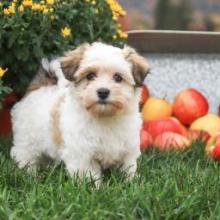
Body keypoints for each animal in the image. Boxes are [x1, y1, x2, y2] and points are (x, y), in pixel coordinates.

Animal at [9, 42, 150, 183]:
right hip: (26, 139)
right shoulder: (83, 154)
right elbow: (89, 174)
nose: (103, 91)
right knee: (25, 155)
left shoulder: (128, 149)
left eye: (118, 78)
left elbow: (128, 168)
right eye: (90, 76)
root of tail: (38, 88)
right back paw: (30, 174)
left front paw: (131, 181)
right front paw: (93, 187)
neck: (104, 117)